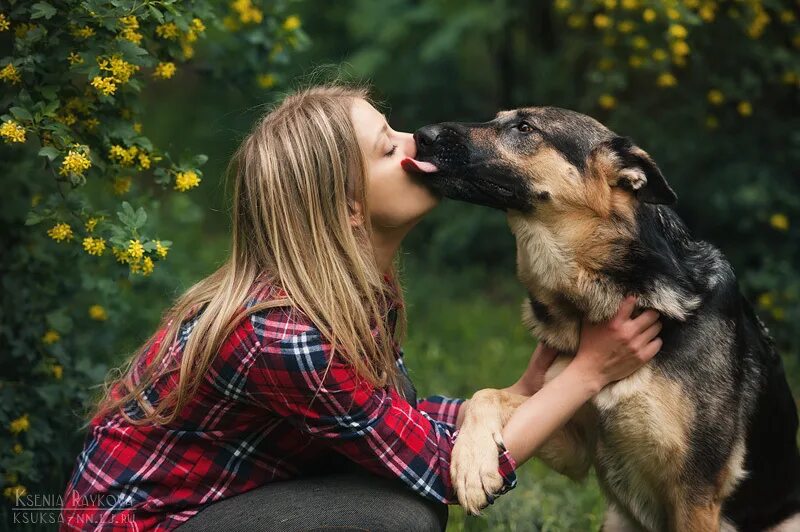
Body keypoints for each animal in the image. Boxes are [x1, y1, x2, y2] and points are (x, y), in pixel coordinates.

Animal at [404, 106, 800, 528]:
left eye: (525, 128)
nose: (421, 135)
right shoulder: (572, 438)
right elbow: (486, 394)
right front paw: (472, 463)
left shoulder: (696, 493)